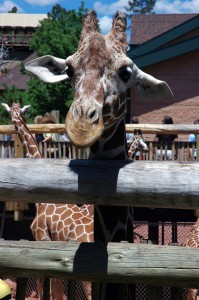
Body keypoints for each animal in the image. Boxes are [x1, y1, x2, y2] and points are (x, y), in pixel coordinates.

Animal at [1, 101, 93, 300]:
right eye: (13, 110)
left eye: (20, 111)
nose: (15, 117)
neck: (42, 201)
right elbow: (56, 291)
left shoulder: (41, 237)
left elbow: (46, 286)